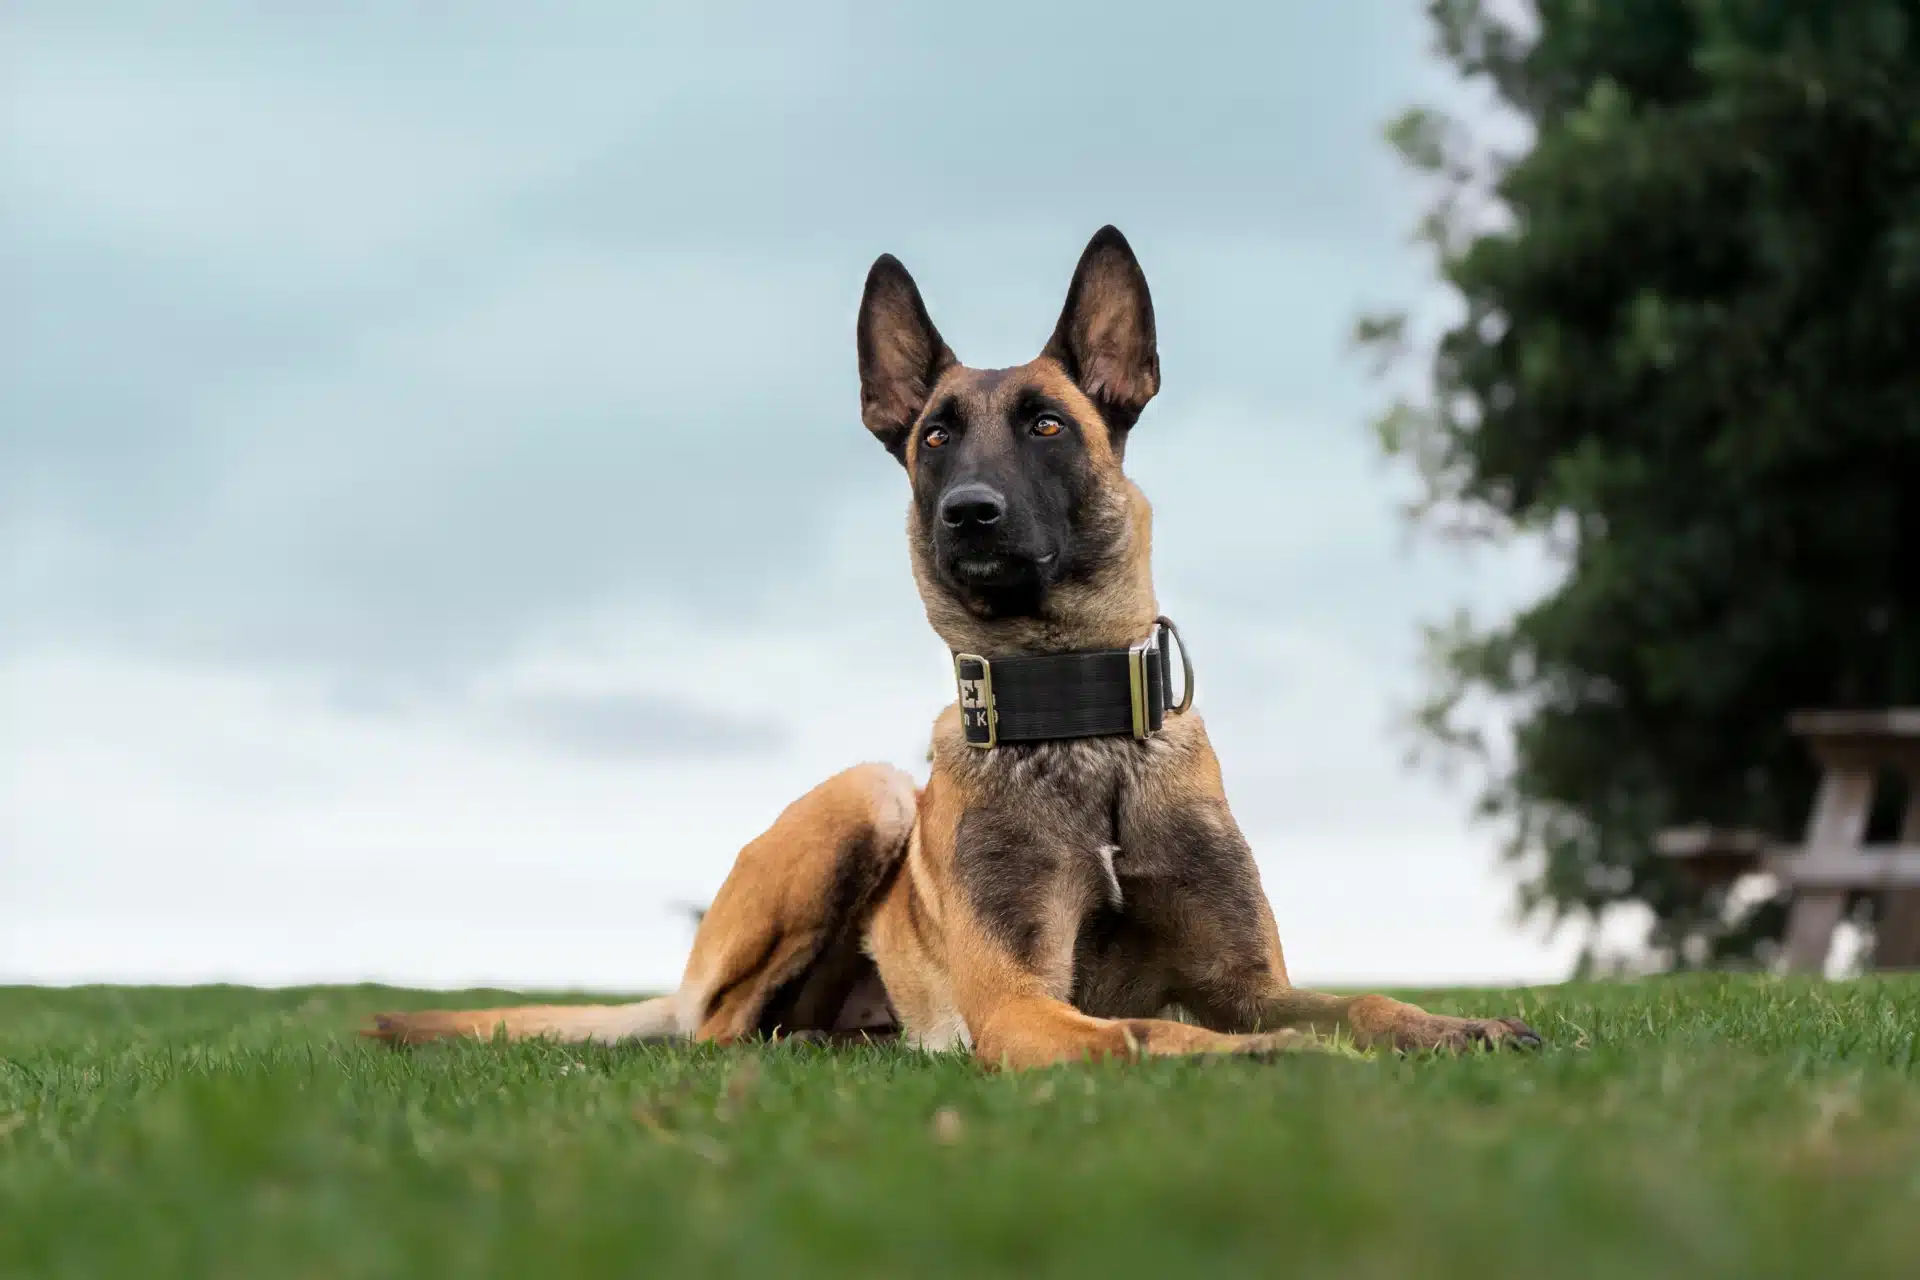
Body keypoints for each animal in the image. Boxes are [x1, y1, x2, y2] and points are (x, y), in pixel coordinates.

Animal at [364, 227, 1542, 1067]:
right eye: (935, 436)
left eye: (1048, 426)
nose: (968, 514)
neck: (1078, 722)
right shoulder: (1021, 1001)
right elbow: (1144, 1030)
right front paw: (1266, 1056)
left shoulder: (1246, 977)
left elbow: (1361, 1000)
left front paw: (1454, 1026)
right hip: (867, 796)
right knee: (719, 1033)